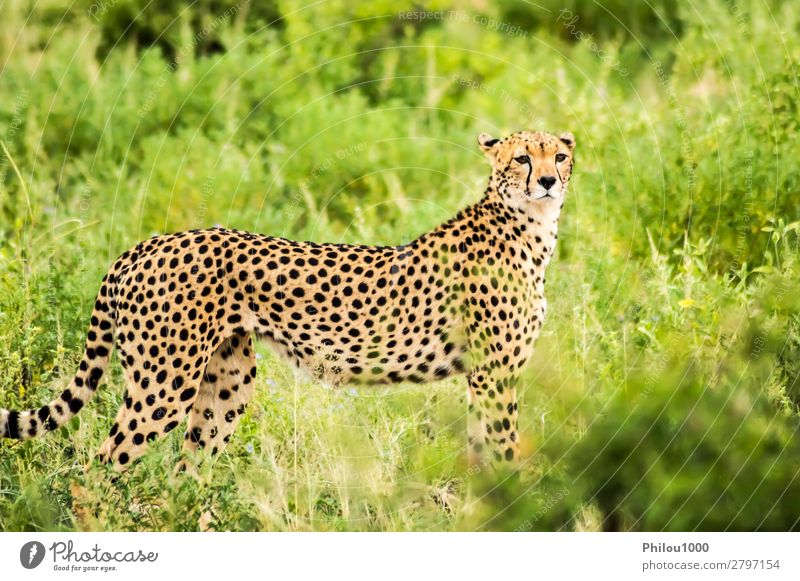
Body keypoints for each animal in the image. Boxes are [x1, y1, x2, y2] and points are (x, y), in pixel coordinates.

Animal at [0, 129, 576, 468]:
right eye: (522, 158)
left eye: (560, 155)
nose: (549, 180)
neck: (531, 226)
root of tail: (150, 242)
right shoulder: (495, 373)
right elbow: (504, 449)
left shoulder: (484, 375)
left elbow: (483, 451)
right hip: (163, 383)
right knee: (105, 463)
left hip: (228, 384)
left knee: (188, 469)